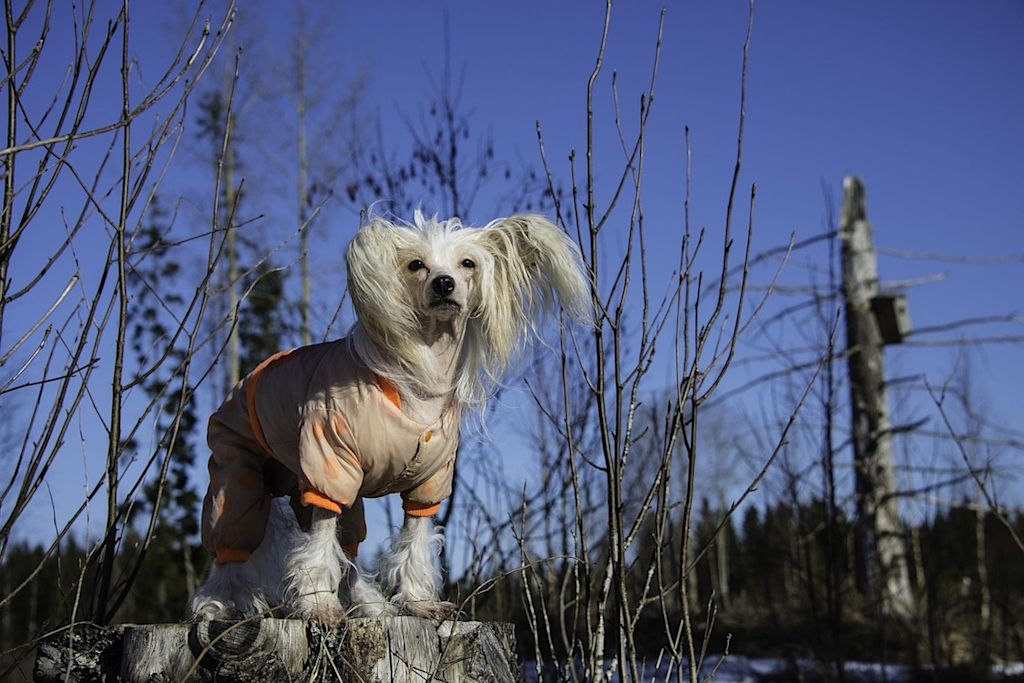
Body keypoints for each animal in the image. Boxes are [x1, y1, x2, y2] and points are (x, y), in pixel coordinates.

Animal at [188, 214, 589, 626]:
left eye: (467, 263)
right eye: (416, 265)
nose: (443, 283)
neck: (423, 377)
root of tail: (243, 382)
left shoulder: (429, 483)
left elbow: (414, 541)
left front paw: (418, 602)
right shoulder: (329, 468)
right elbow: (319, 543)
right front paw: (318, 605)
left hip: (316, 491)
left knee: (348, 551)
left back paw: (369, 605)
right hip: (238, 471)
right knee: (231, 543)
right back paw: (218, 603)